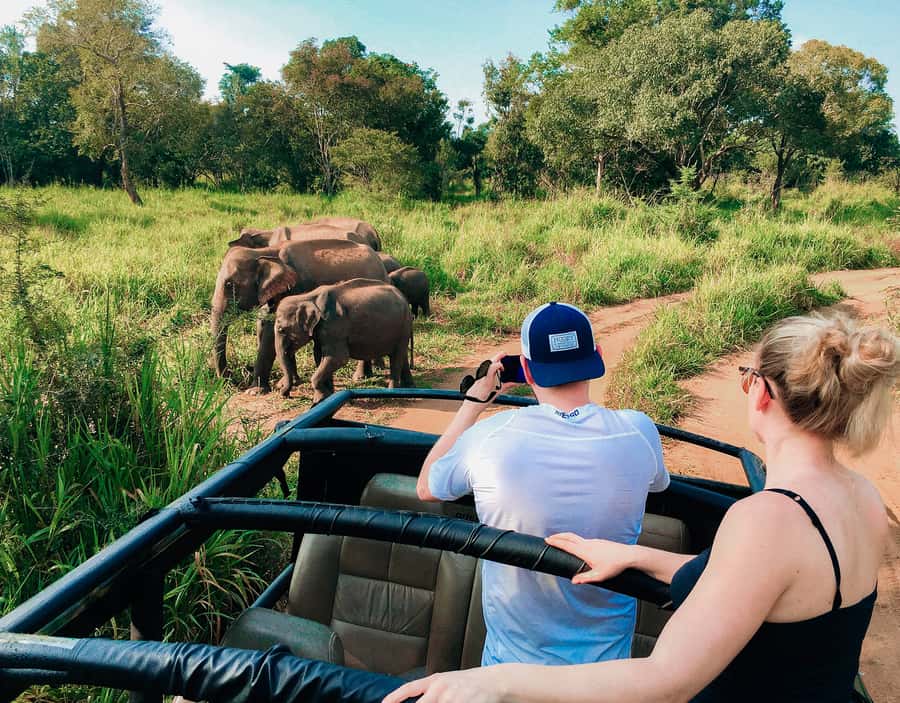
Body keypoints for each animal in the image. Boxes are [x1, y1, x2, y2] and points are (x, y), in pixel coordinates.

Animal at [211, 239, 388, 392]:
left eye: (229, 284)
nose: (230, 380)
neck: (264, 252)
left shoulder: (296, 286)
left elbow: (270, 331)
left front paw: (255, 391)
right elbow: (265, 322)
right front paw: (289, 383)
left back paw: (360, 377)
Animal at [274, 278, 414, 402]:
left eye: (281, 330)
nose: (284, 394)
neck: (307, 297)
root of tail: (404, 297)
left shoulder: (333, 325)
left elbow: (338, 357)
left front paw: (318, 400)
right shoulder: (321, 331)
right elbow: (319, 356)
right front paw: (328, 396)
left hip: (403, 327)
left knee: (396, 357)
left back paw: (393, 393)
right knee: (401, 355)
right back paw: (408, 387)